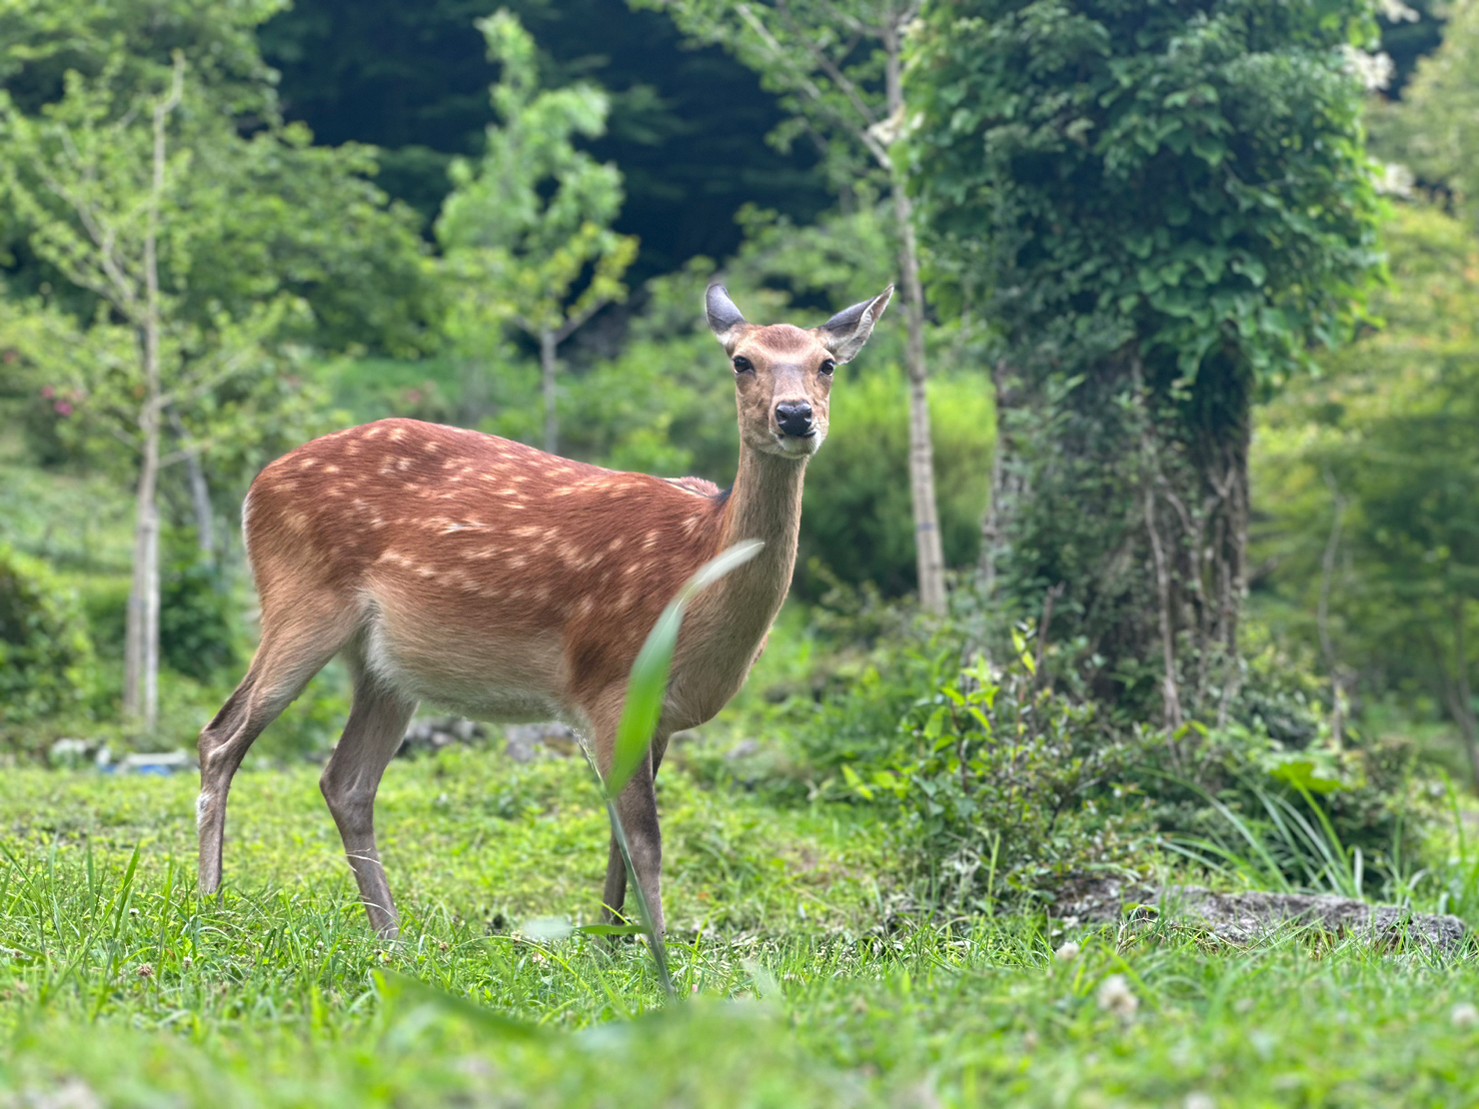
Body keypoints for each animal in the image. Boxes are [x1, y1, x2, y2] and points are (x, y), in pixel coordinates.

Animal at [193, 283, 887, 940]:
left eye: (827, 364)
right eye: (742, 361)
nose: (794, 415)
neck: (698, 571)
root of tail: (257, 486)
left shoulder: (656, 716)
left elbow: (619, 834)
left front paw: (610, 944)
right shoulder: (610, 682)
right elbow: (646, 839)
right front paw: (659, 959)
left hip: (385, 666)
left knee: (346, 781)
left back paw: (391, 936)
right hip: (301, 598)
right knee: (221, 736)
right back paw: (210, 905)